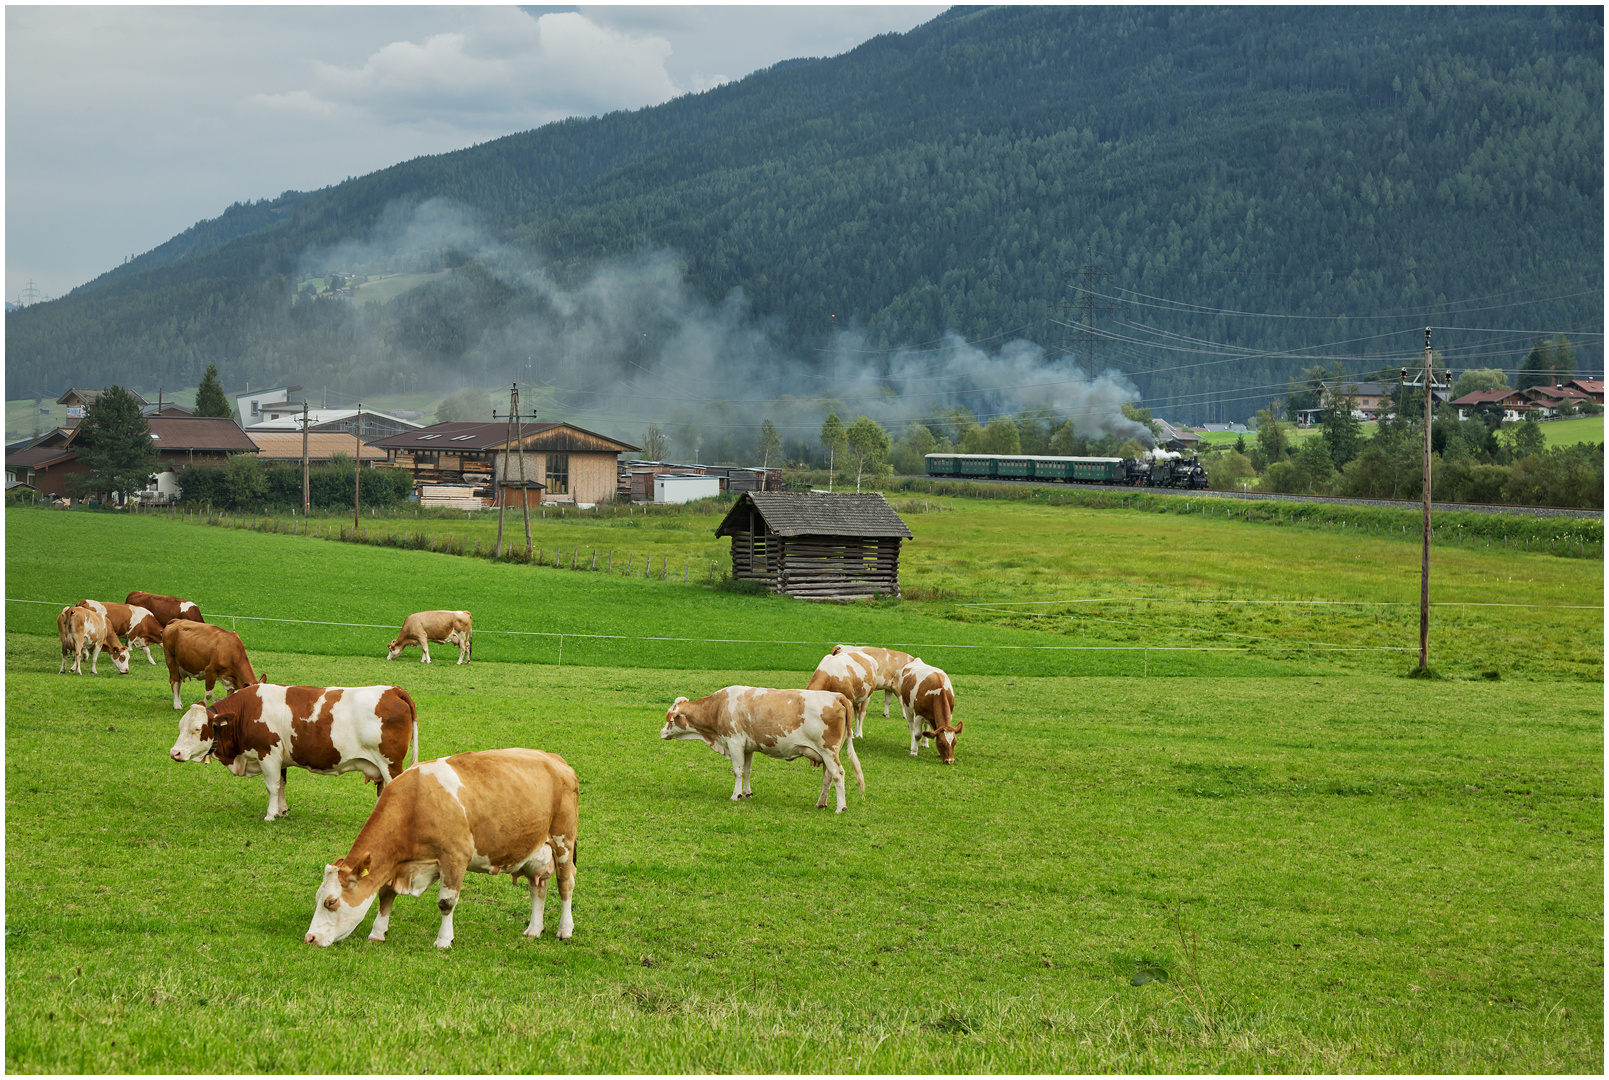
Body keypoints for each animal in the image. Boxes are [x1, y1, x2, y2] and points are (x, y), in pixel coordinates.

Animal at [169, 685, 421, 820]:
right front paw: (281, 811)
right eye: (180, 726)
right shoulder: (279, 759)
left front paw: (270, 815)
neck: (245, 712)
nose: (175, 753)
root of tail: (393, 690)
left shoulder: (268, 753)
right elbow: (281, 784)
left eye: (197, 728)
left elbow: (271, 786)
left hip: (390, 764)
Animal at [302, 746, 579, 952]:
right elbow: (385, 894)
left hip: (563, 841)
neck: (415, 804)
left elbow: (446, 902)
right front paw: (377, 933)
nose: (310, 938)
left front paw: (444, 940)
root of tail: (554, 759)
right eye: (318, 897)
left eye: (330, 902)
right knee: (537, 887)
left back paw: (565, 930)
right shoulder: (397, 863)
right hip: (536, 848)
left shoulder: (455, 857)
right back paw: (534, 929)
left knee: (565, 885)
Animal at [656, 692, 868, 811]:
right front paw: (747, 793)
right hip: (825, 755)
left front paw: (735, 795)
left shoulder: (734, 742)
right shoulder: (748, 747)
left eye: (669, 719)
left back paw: (840, 807)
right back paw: (821, 803)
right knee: (828, 778)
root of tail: (838, 696)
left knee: (838, 774)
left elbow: (737, 771)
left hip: (829, 751)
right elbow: (747, 771)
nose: (661, 732)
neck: (719, 707)